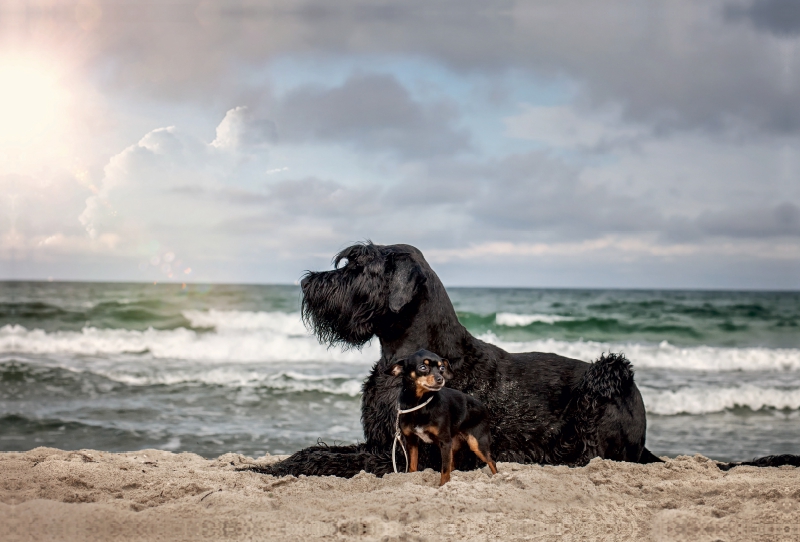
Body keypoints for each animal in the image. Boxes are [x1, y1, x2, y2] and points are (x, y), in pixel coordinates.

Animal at [386, 352, 496, 488]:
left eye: (442, 368)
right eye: (423, 367)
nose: (440, 379)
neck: (420, 404)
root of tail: (483, 407)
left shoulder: (444, 442)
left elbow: (444, 469)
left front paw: (443, 486)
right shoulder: (411, 441)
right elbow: (412, 466)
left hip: (476, 443)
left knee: (492, 462)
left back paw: (498, 478)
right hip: (454, 445)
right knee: (453, 465)